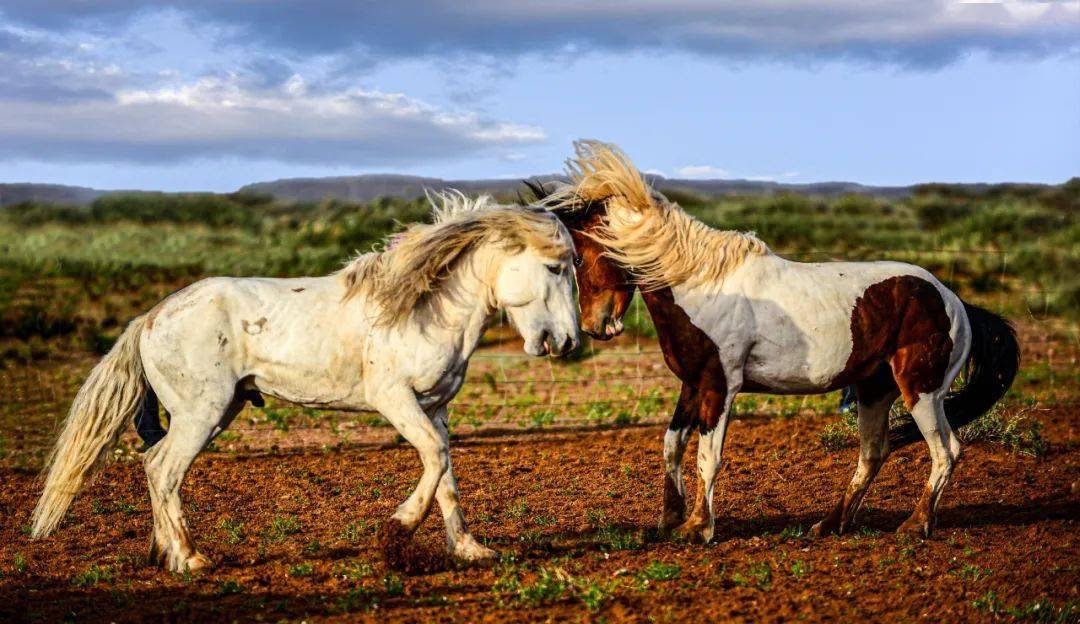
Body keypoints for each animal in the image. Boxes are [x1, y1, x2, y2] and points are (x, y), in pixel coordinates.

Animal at [29, 193, 578, 570]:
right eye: (554, 267)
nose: (567, 341)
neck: (425, 308)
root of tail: (149, 317)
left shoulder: (435, 408)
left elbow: (446, 475)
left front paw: (469, 549)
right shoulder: (395, 399)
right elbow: (435, 459)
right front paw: (395, 534)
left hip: (214, 411)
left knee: (151, 464)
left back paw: (166, 553)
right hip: (201, 413)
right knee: (163, 470)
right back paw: (190, 559)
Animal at [535, 139, 1015, 539]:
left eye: (578, 257)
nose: (596, 326)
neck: (705, 285)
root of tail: (955, 302)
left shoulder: (720, 386)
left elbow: (707, 457)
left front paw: (697, 528)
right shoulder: (693, 383)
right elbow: (672, 446)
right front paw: (669, 521)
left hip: (921, 390)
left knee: (946, 450)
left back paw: (915, 525)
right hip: (874, 390)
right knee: (873, 453)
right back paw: (831, 524)